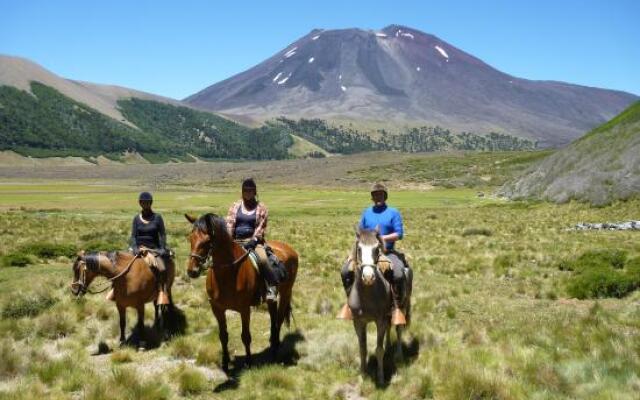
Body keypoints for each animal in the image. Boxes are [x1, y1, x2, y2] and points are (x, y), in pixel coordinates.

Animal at [182, 212, 298, 372]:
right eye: (190, 238)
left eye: (207, 241)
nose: (192, 271)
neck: (228, 273)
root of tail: (289, 248)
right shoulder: (217, 309)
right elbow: (223, 336)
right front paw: (225, 363)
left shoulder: (244, 309)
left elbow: (246, 336)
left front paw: (248, 363)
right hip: (271, 299)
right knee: (273, 317)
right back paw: (272, 344)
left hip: (286, 292)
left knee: (279, 320)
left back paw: (275, 350)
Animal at [348, 227, 412, 382]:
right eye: (359, 249)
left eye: (377, 249)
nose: (368, 277)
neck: (367, 296)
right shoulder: (358, 322)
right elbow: (363, 348)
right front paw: (363, 375)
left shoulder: (380, 320)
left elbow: (378, 350)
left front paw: (381, 377)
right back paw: (388, 346)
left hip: (402, 306)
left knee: (399, 329)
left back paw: (398, 355)